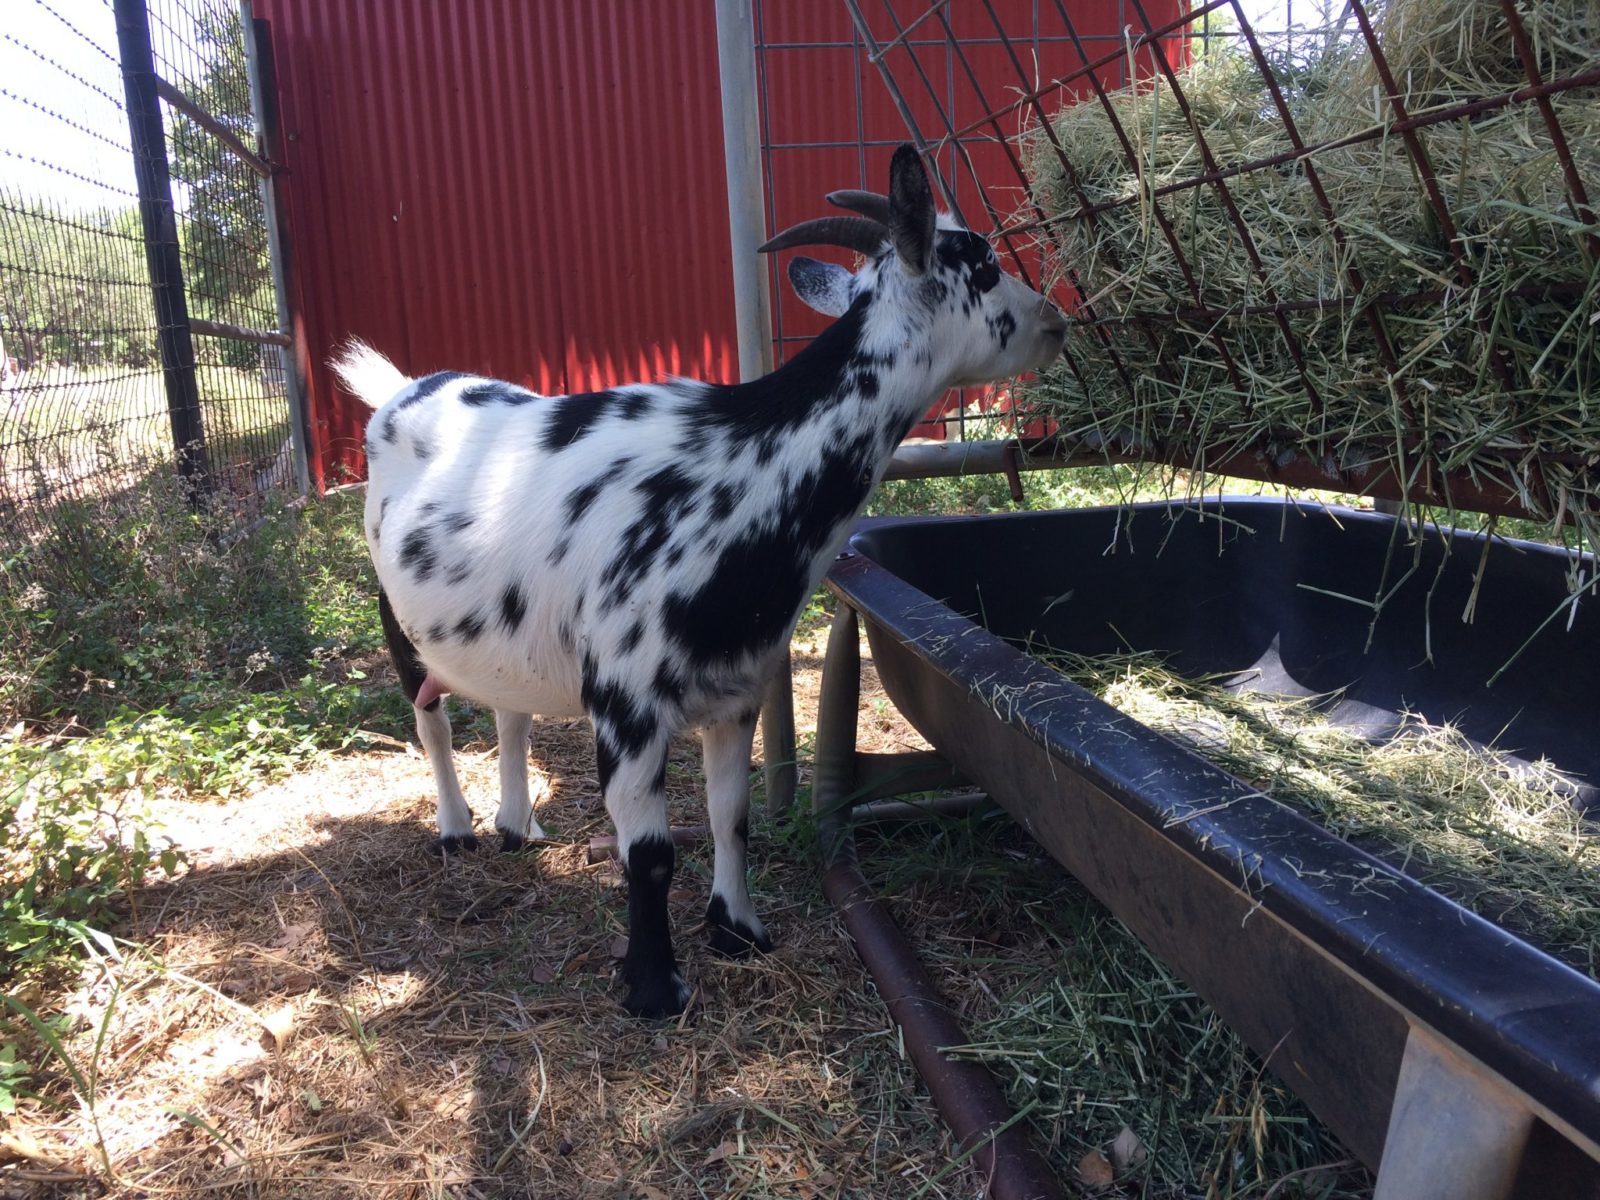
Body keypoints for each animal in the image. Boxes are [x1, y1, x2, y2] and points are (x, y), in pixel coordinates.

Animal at [331, 145, 1068, 1017]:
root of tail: (401, 389)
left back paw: (518, 826)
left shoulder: (738, 689)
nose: (1056, 319)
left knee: (510, 710)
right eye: (984, 264)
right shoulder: (627, 706)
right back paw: (456, 828)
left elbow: (730, 815)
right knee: (431, 716)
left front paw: (738, 931)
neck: (740, 473)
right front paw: (655, 988)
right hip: (395, 611)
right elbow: (648, 852)